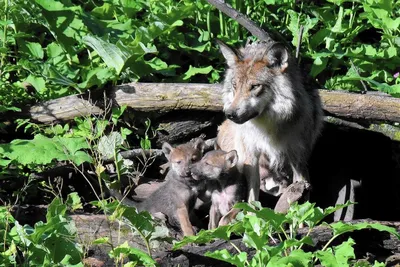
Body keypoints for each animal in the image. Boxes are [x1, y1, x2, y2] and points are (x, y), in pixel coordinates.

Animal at [216, 39, 322, 203]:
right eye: (235, 85)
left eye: (254, 86)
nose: (230, 114)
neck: (267, 127)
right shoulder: (251, 156)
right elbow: (252, 195)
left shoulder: (298, 156)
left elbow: (301, 188)